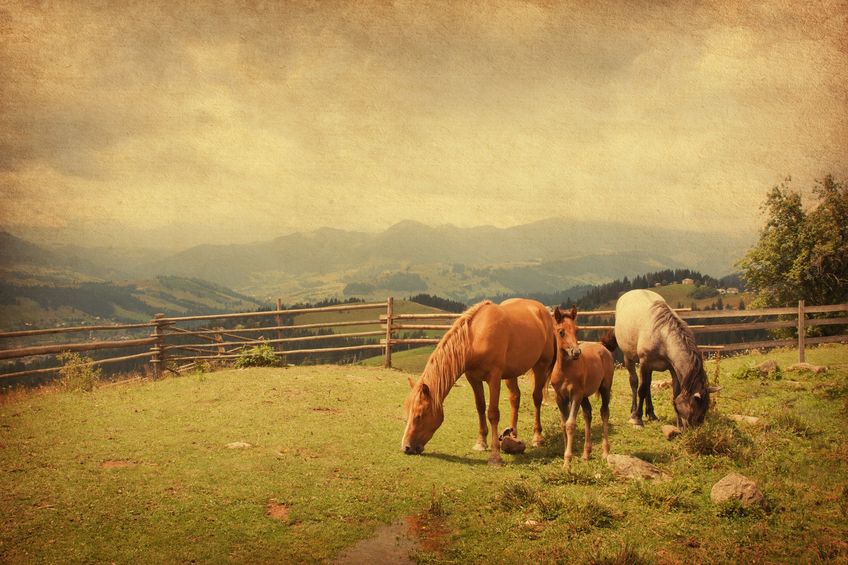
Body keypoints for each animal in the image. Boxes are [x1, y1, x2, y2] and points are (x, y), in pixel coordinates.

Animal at [401, 298, 556, 466]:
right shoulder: (473, 379)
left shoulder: (494, 378)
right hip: (512, 373)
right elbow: (480, 407)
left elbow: (493, 413)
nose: (406, 447)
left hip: (541, 366)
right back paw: (513, 436)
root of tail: (543, 310)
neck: (474, 339)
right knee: (515, 398)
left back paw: (537, 438)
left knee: (537, 398)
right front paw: (481, 443)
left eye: (419, 415)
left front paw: (495, 457)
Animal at [550, 305, 615, 466]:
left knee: (604, 412)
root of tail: (602, 346)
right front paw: (567, 457)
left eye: (577, 330)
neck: (565, 371)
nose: (576, 352)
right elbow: (563, 424)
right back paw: (586, 454)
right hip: (585, 395)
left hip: (605, 387)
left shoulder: (575, 395)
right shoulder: (559, 397)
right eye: (561, 332)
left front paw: (567, 460)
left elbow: (570, 424)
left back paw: (605, 452)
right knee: (588, 414)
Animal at [614, 289, 718, 429]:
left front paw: (678, 424)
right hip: (628, 357)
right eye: (693, 409)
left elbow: (675, 393)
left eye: (704, 410)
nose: (693, 429)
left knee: (647, 385)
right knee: (635, 383)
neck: (662, 335)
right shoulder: (644, 363)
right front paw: (637, 419)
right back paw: (634, 411)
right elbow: (641, 389)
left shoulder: (672, 368)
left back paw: (651, 414)